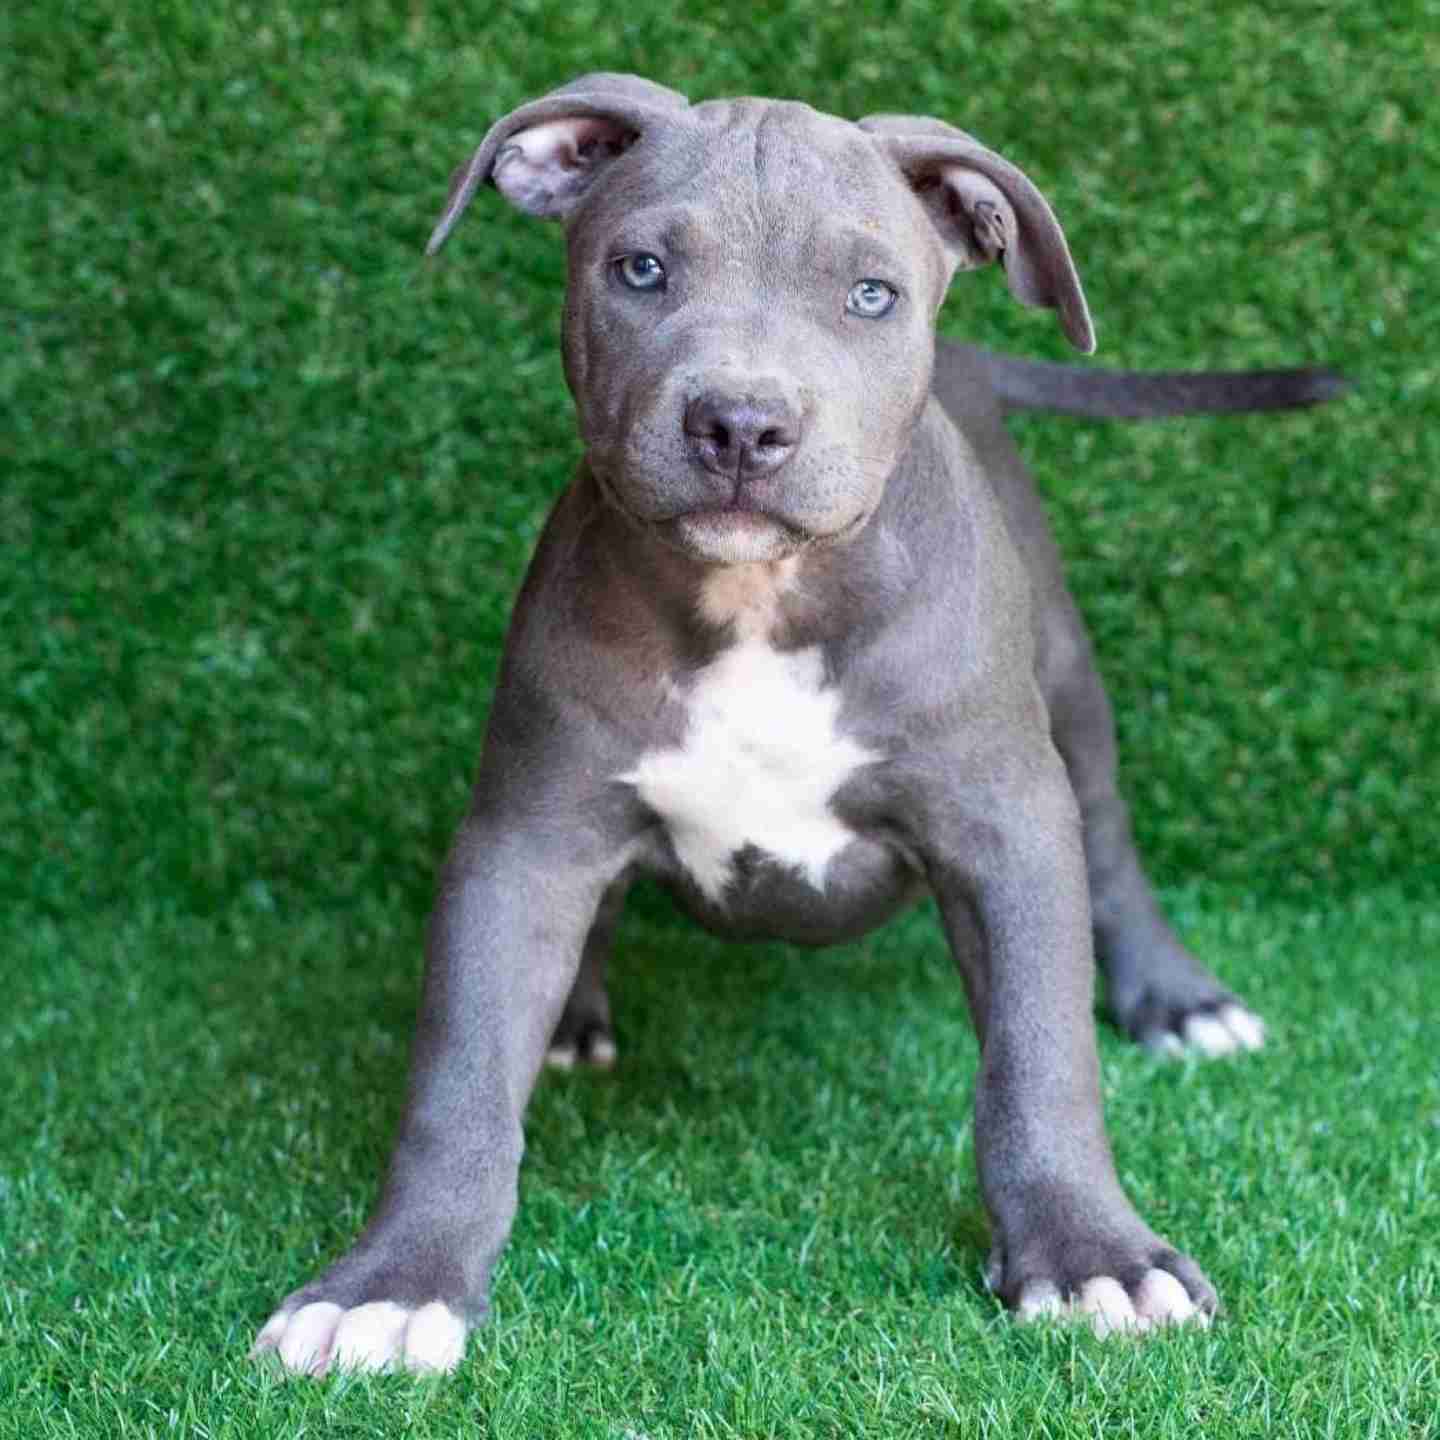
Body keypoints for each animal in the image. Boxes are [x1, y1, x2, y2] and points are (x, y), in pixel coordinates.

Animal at [250, 75, 1336, 1370]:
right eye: (641, 270)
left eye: (870, 294)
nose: (739, 423)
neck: (762, 600)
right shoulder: (523, 837)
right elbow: (458, 1074)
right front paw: (395, 1282)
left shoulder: (1006, 824)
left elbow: (1040, 1057)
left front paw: (1091, 1255)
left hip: (1069, 687)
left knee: (1110, 836)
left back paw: (1176, 998)